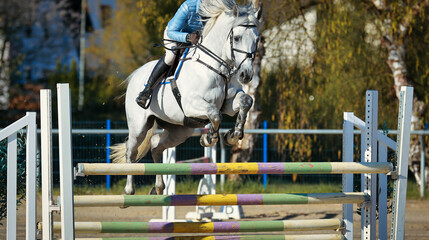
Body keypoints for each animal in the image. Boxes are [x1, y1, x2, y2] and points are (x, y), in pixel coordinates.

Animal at [110, 0, 260, 195]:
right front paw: (209, 138)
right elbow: (215, 114)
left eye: (257, 39)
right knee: (131, 151)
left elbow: (245, 101)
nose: (246, 75)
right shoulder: (192, 105)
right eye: (237, 38)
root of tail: (135, 75)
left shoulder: (227, 102)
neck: (216, 66)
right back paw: (129, 190)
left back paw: (158, 188)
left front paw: (233, 136)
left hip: (179, 131)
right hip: (139, 127)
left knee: (156, 146)